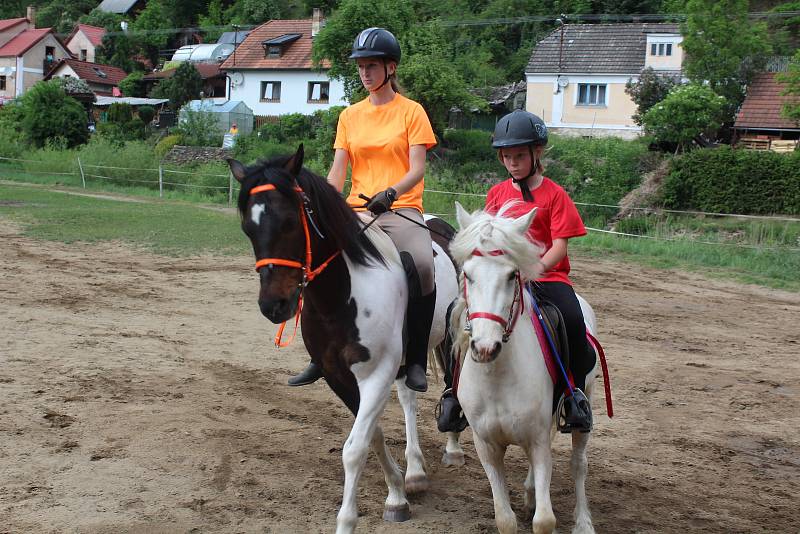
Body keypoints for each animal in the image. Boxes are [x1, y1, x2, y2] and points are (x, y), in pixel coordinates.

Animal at [228, 147, 460, 534]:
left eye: (290, 222)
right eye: (248, 228)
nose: (274, 305)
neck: (343, 295)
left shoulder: (376, 374)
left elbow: (354, 449)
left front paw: (350, 519)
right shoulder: (338, 376)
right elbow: (373, 434)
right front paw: (397, 493)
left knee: (454, 386)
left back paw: (454, 449)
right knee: (409, 397)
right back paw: (415, 472)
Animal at [446, 202, 596, 534]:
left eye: (512, 275)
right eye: (467, 275)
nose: (485, 348)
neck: (498, 377)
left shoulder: (537, 441)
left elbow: (545, 520)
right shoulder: (486, 446)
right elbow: (505, 519)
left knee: (578, 464)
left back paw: (583, 522)